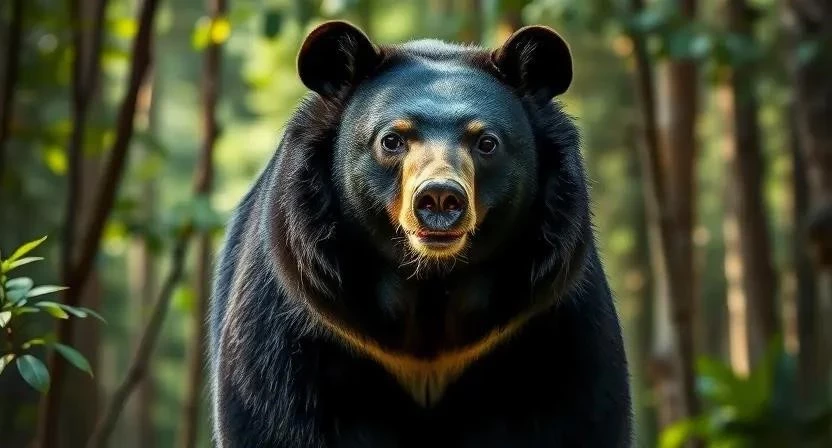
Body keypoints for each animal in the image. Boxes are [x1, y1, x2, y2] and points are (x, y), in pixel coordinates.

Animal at [208, 21, 632, 448]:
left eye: (487, 142)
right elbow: (274, 416)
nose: (440, 197)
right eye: (391, 140)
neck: (430, 287)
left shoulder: (551, 323)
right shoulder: (299, 323)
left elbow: (576, 417)